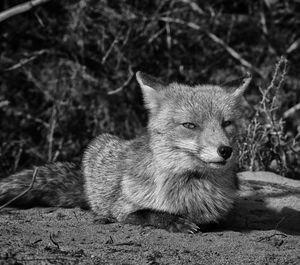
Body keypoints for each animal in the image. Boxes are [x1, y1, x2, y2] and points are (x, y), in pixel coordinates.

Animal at [0, 71, 251, 232]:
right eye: (190, 125)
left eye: (226, 123)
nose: (225, 150)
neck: (192, 188)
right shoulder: (122, 208)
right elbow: (150, 213)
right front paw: (175, 222)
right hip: (99, 145)